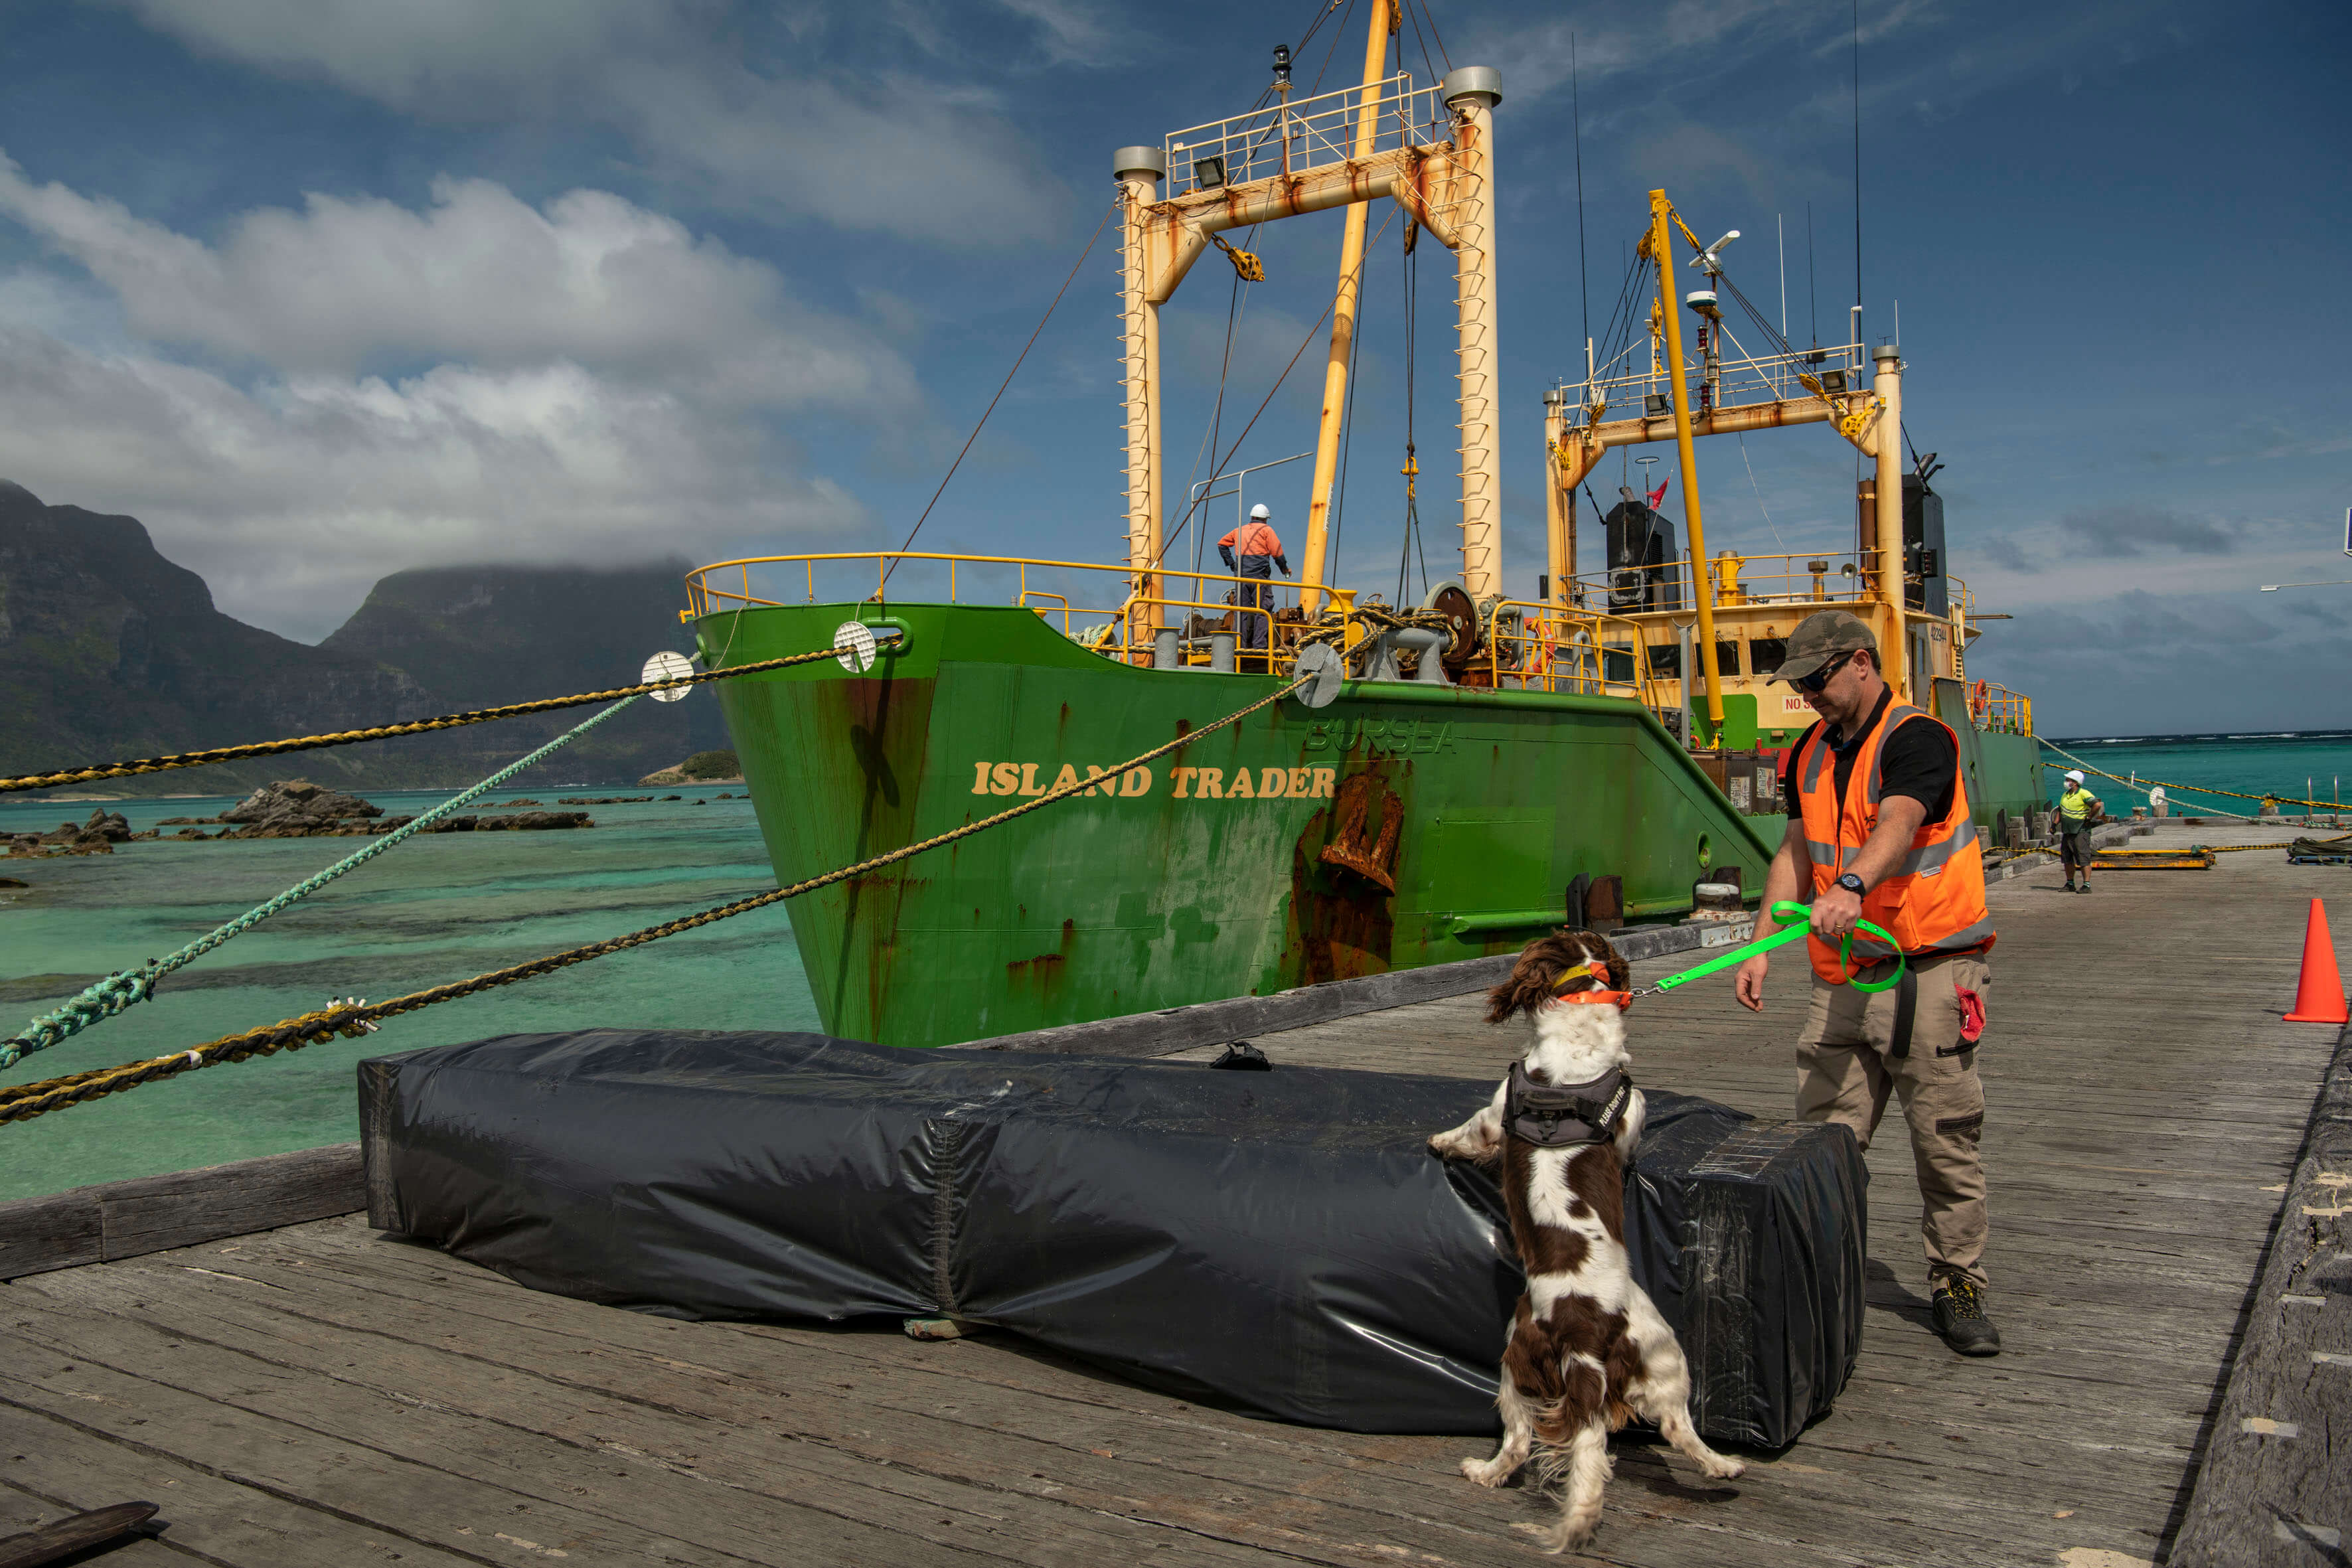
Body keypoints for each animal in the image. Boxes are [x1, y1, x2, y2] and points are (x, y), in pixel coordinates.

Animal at [1420, 926, 1740, 1551]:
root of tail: (1583, 1333)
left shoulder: (1496, 1113)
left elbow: (1471, 1131)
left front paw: (1439, 1142)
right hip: (1661, 1352)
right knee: (1676, 1427)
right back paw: (1722, 1465)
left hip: (1518, 1361)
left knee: (1520, 1439)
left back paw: (1483, 1472)